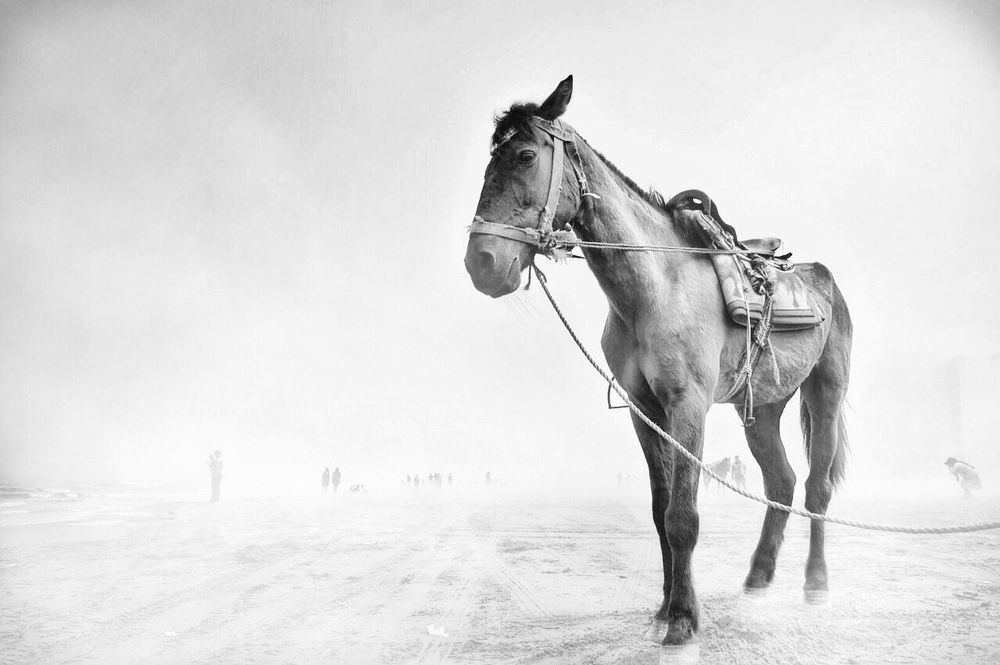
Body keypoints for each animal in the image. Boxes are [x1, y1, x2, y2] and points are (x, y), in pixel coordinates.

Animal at [463, 76, 852, 645]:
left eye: (525, 155)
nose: (483, 262)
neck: (656, 290)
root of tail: (823, 279)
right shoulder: (644, 410)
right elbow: (658, 509)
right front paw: (666, 607)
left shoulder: (687, 406)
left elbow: (682, 515)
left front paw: (685, 619)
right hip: (762, 408)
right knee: (779, 481)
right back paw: (758, 576)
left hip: (826, 391)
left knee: (817, 487)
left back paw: (817, 581)